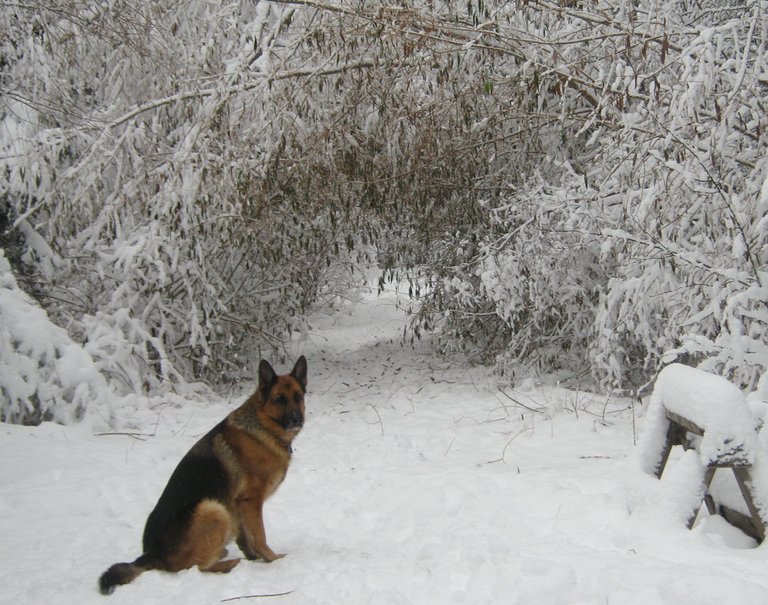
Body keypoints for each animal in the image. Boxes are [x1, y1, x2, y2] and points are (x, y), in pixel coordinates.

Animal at [97, 356, 308, 592]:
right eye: (279, 399)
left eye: (298, 397)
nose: (297, 419)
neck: (264, 426)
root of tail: (152, 553)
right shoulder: (250, 500)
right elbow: (259, 536)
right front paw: (273, 559)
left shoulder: (239, 505)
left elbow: (246, 538)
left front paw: (255, 558)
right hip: (213, 509)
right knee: (194, 568)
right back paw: (228, 564)